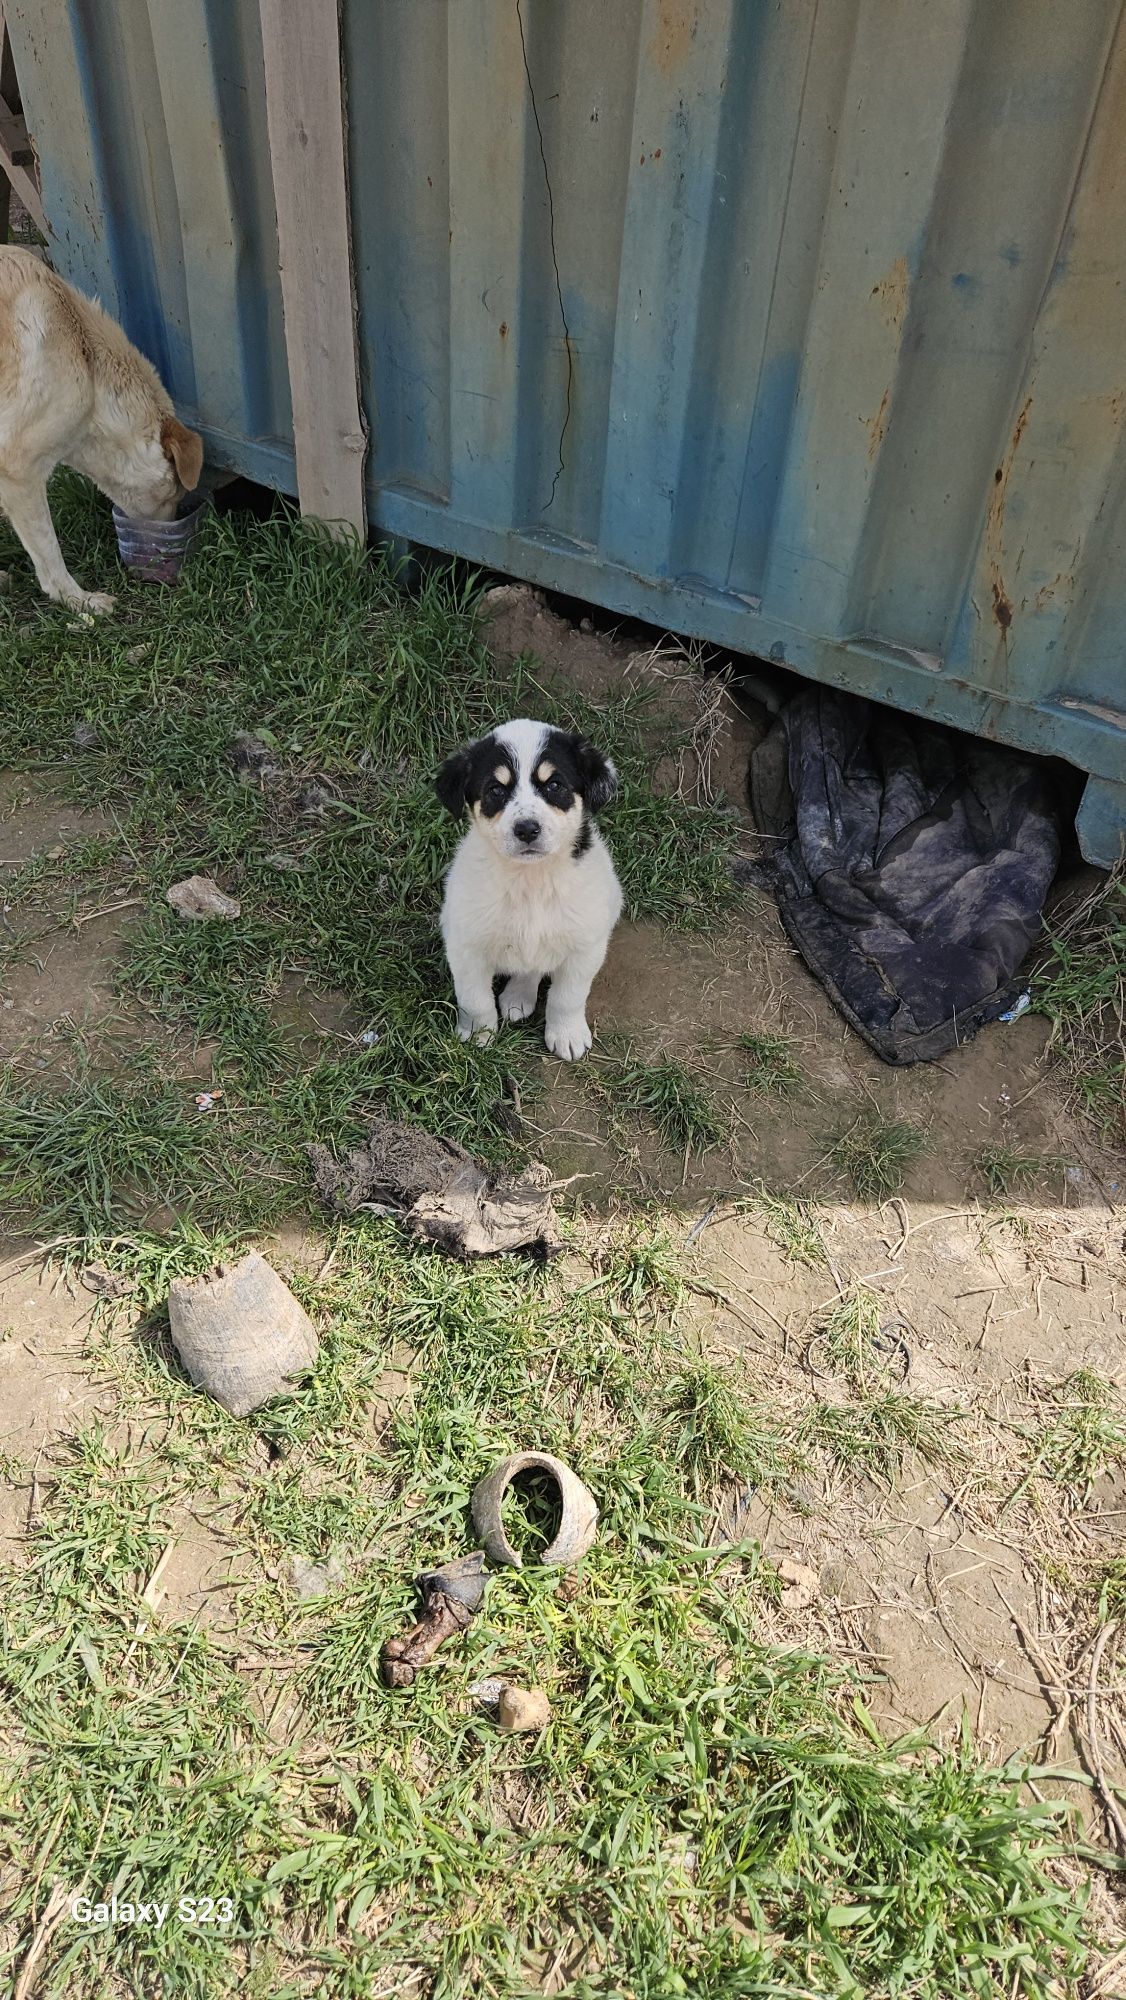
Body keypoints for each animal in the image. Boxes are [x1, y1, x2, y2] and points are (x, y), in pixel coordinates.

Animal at [434, 720, 624, 1064]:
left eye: (554, 785)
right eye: (496, 790)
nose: (526, 829)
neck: (530, 879)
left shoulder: (585, 947)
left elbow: (568, 997)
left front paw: (567, 1035)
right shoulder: (465, 946)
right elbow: (474, 998)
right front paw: (478, 1036)